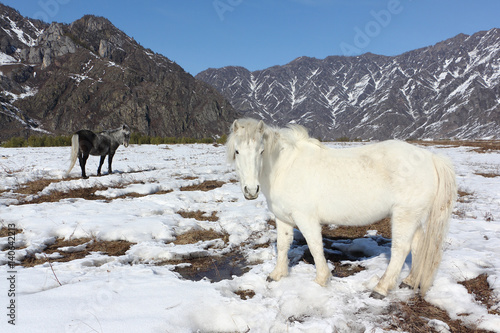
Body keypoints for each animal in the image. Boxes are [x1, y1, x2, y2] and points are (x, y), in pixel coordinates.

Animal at [229, 117, 456, 296]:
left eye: (261, 151)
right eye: (237, 151)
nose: (251, 190)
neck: (284, 168)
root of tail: (430, 158)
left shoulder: (306, 218)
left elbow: (315, 245)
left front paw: (321, 280)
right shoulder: (283, 218)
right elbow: (284, 245)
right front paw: (277, 275)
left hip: (405, 215)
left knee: (401, 248)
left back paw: (381, 288)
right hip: (415, 215)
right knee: (417, 245)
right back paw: (409, 281)